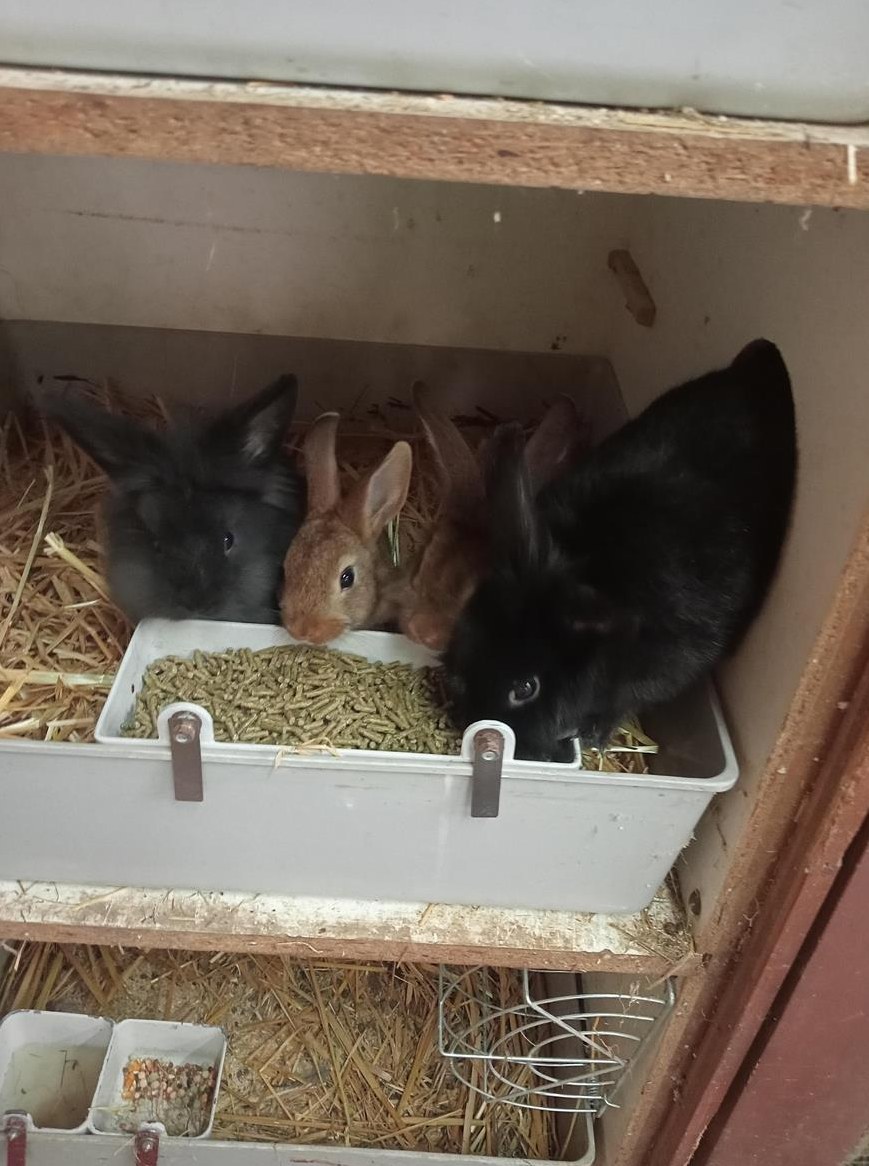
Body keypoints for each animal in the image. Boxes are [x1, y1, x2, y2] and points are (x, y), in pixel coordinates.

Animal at [443, 339, 798, 762]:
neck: (583, 561)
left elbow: (627, 698)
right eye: (466, 630)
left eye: (526, 688)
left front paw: (594, 734)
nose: (471, 718)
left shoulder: (666, 664)